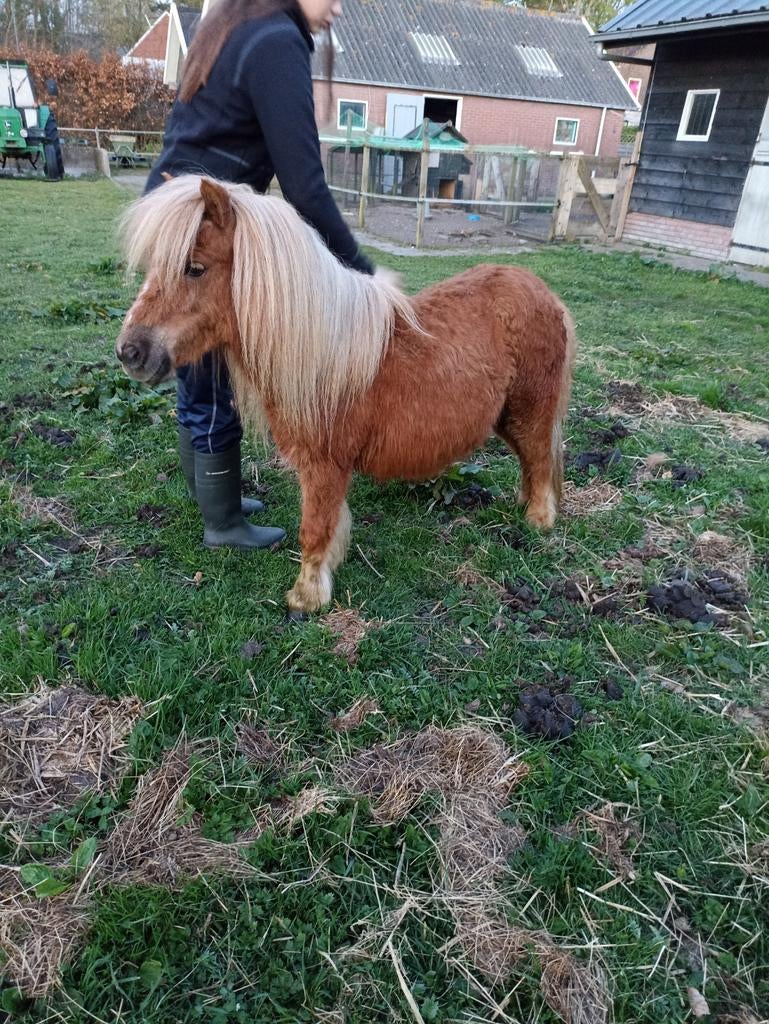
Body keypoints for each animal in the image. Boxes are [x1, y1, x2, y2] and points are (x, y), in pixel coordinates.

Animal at [115, 175, 576, 614]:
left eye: (195, 268)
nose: (130, 352)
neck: (323, 352)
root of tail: (542, 291)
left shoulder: (324, 465)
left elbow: (314, 528)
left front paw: (306, 597)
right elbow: (330, 525)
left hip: (531, 408)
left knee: (539, 457)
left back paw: (538, 520)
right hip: (507, 416)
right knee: (530, 460)